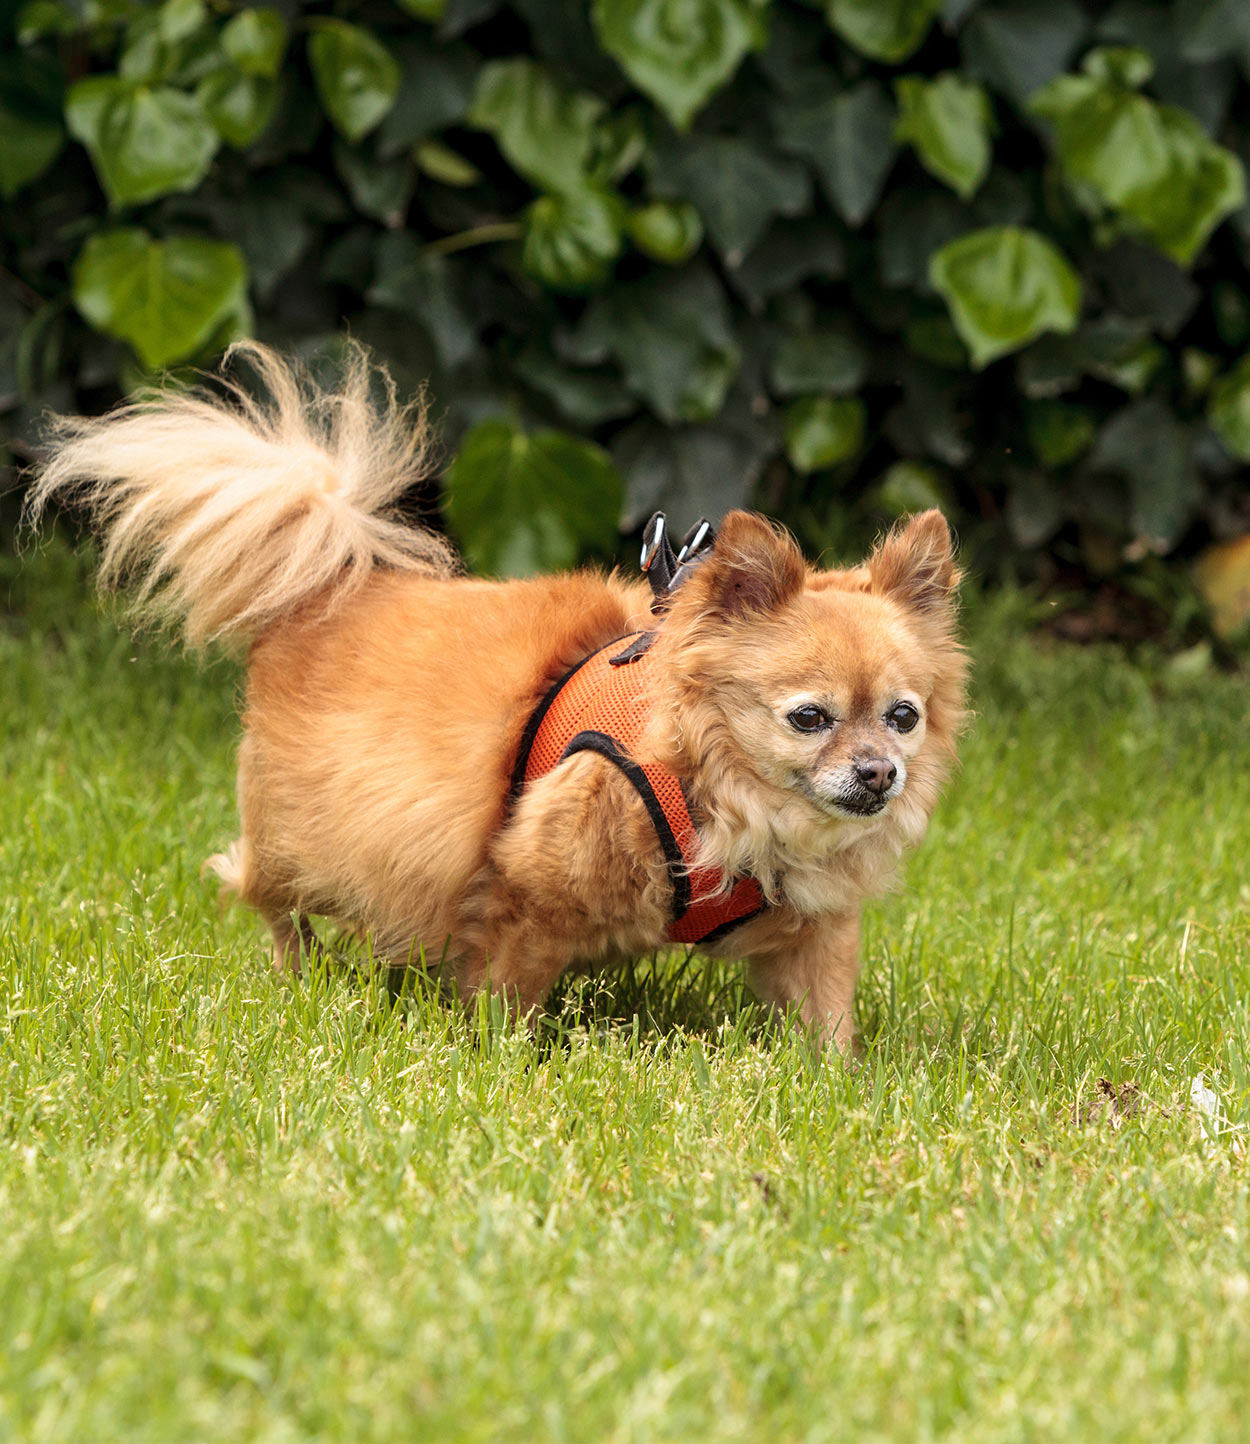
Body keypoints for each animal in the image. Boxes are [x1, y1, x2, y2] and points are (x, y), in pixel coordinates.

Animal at [26, 343, 964, 1057]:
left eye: (902, 718)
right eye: (808, 718)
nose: (878, 773)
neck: (723, 797)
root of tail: (329, 587)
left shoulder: (814, 932)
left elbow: (823, 1011)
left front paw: (831, 1079)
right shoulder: (525, 895)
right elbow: (503, 991)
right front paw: (500, 1058)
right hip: (303, 844)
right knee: (265, 898)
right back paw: (303, 978)